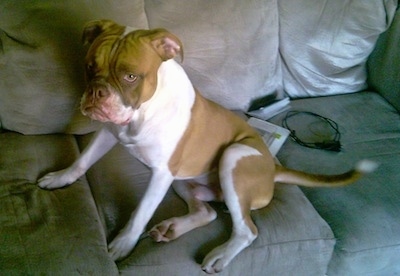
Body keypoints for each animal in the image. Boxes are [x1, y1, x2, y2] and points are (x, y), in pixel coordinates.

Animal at [38, 20, 378, 274]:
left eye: (130, 76)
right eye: (88, 67)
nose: (96, 92)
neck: (143, 112)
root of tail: (273, 168)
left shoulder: (160, 174)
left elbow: (140, 212)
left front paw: (123, 243)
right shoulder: (110, 133)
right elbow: (82, 161)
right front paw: (61, 178)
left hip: (232, 156)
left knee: (246, 230)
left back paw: (221, 255)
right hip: (183, 180)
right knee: (208, 212)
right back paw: (172, 228)